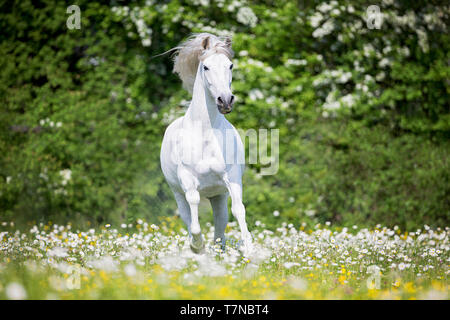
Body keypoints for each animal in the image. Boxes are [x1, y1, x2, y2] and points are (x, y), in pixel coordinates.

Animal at [160, 33, 253, 255]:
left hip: (217, 196)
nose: (225, 101)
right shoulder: (187, 180)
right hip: (178, 194)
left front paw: (251, 250)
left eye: (230, 65)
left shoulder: (232, 179)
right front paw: (197, 246)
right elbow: (194, 211)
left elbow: (239, 209)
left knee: (220, 224)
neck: (206, 134)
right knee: (187, 215)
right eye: (206, 67)